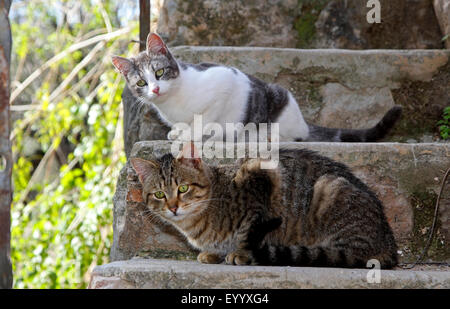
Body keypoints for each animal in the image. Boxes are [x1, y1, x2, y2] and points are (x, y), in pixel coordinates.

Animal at [112, 31, 400, 143]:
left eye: (159, 72)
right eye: (141, 83)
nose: (155, 90)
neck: (173, 103)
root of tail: (303, 121)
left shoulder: (225, 83)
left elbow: (204, 118)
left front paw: (191, 133)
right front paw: (178, 132)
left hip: (279, 99)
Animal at [130, 144, 398, 268]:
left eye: (183, 189)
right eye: (159, 194)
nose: (173, 207)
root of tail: (389, 243)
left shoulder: (260, 176)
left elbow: (248, 229)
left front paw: (240, 253)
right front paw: (213, 253)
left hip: (330, 189)